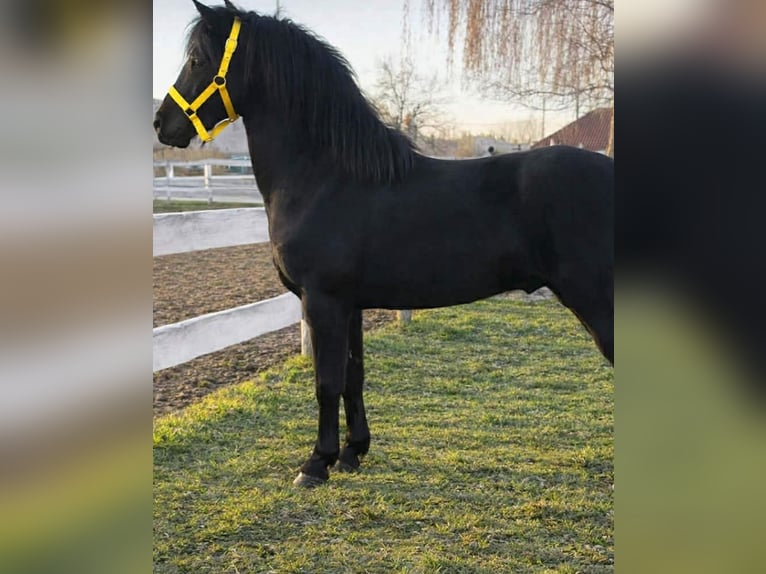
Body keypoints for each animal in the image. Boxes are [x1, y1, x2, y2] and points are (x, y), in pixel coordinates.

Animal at [154, 1, 614, 488]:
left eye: (197, 60)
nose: (162, 124)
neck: (324, 177)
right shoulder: (350, 304)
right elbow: (352, 376)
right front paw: (352, 452)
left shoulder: (323, 301)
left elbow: (326, 382)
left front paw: (315, 464)